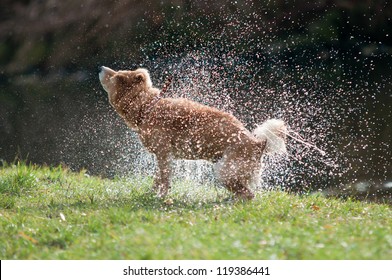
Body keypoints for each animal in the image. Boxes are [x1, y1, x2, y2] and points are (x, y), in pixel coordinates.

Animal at [99, 65, 286, 199]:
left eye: (118, 76)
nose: (100, 67)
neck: (147, 106)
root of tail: (259, 143)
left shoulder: (163, 153)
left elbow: (164, 179)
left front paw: (160, 197)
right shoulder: (164, 156)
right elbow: (158, 178)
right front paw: (151, 193)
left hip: (225, 171)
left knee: (248, 194)